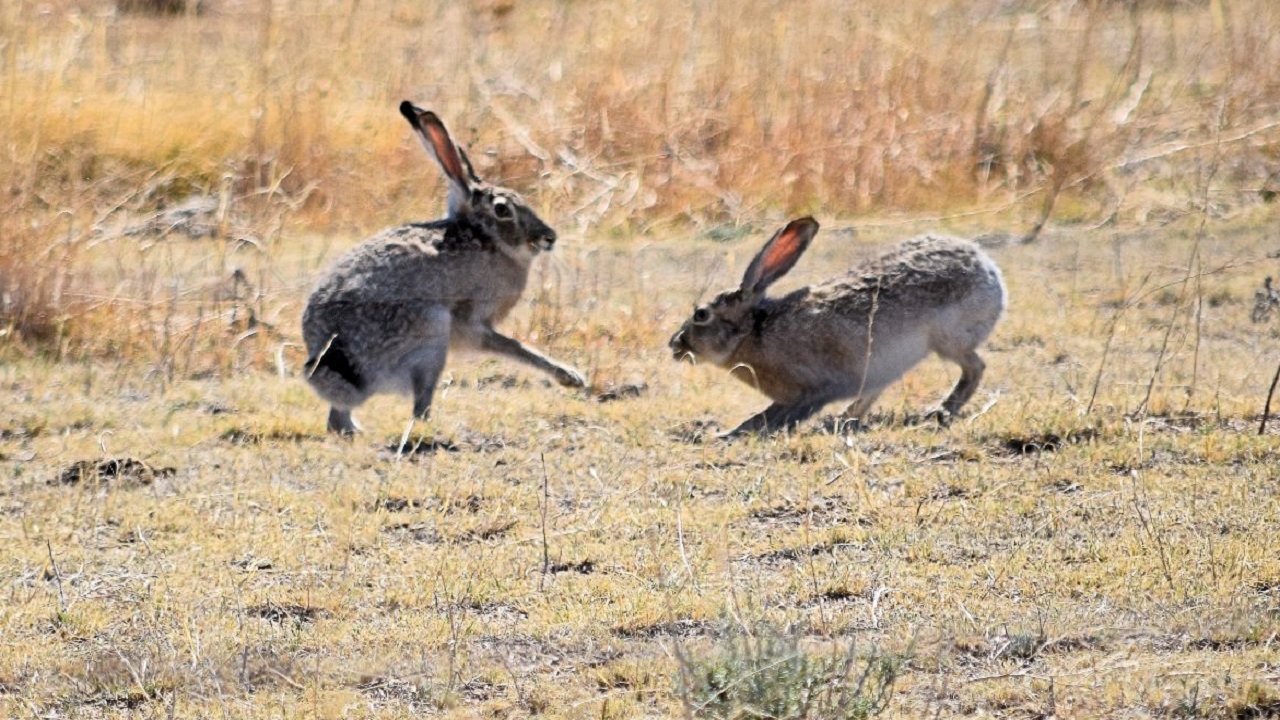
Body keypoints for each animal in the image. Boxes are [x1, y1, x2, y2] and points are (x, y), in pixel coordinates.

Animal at [302, 101, 586, 434]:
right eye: (502, 209)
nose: (548, 237)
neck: (483, 238)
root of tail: (336, 353)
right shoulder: (470, 322)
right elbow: (512, 346)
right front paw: (570, 376)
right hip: (432, 335)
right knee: (417, 405)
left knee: (337, 417)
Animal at [668, 217, 1005, 437]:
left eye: (701, 315)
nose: (674, 344)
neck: (753, 332)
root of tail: (987, 268)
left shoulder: (808, 390)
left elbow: (773, 415)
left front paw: (729, 433)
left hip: (947, 340)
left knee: (975, 367)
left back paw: (940, 411)